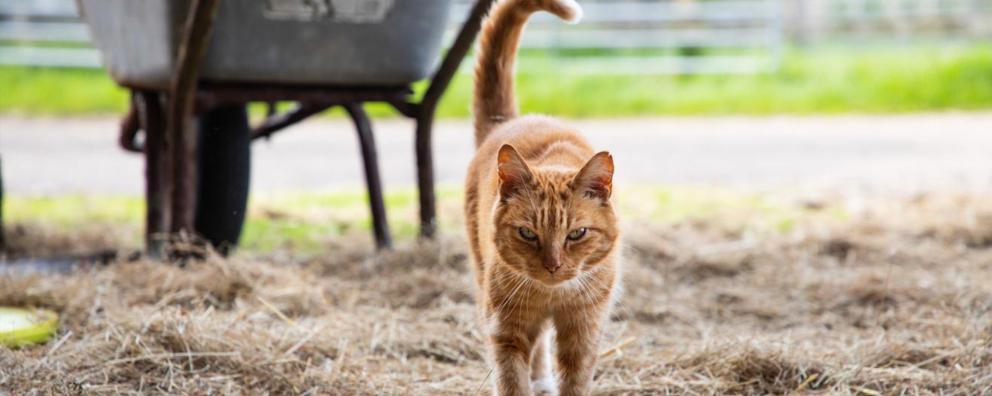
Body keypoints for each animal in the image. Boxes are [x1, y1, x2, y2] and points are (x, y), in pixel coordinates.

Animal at [464, 1, 620, 394]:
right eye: (527, 233)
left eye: (577, 234)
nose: (553, 266)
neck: (552, 296)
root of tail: (509, 122)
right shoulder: (505, 330)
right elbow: (512, 381)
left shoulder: (584, 333)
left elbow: (576, 381)